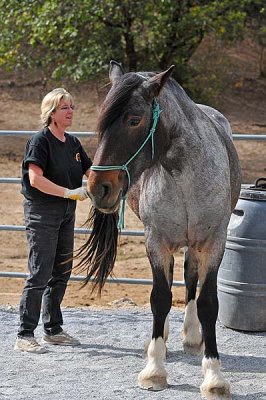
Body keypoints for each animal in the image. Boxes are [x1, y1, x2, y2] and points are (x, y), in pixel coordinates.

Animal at [76, 60, 241, 400]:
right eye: (102, 123)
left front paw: (214, 377)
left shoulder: (214, 242)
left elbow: (208, 303)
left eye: (134, 120)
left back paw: (192, 336)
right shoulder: (156, 242)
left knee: (190, 278)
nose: (98, 188)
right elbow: (159, 298)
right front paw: (155, 369)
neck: (184, 179)